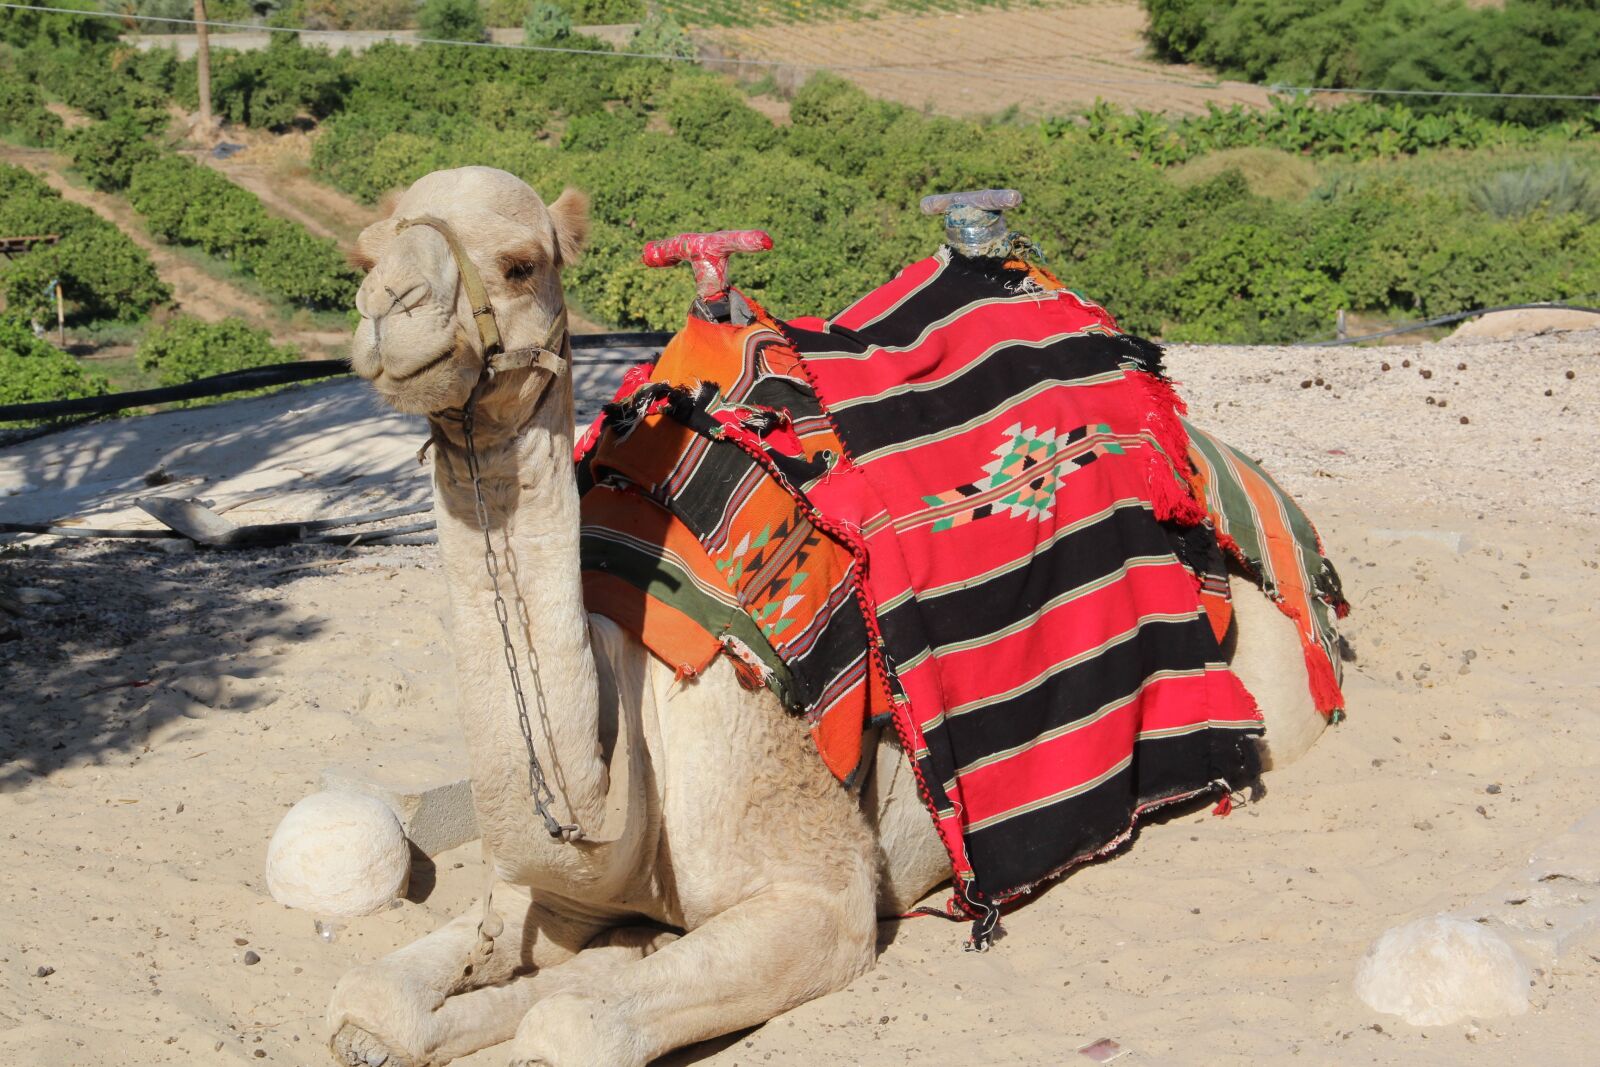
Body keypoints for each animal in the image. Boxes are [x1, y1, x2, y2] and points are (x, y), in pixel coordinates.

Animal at [327, 166, 1328, 1067]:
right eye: (365, 254)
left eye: (521, 262)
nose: (387, 306)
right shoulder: (554, 895)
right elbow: (376, 993)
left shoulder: (816, 886)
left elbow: (570, 1020)